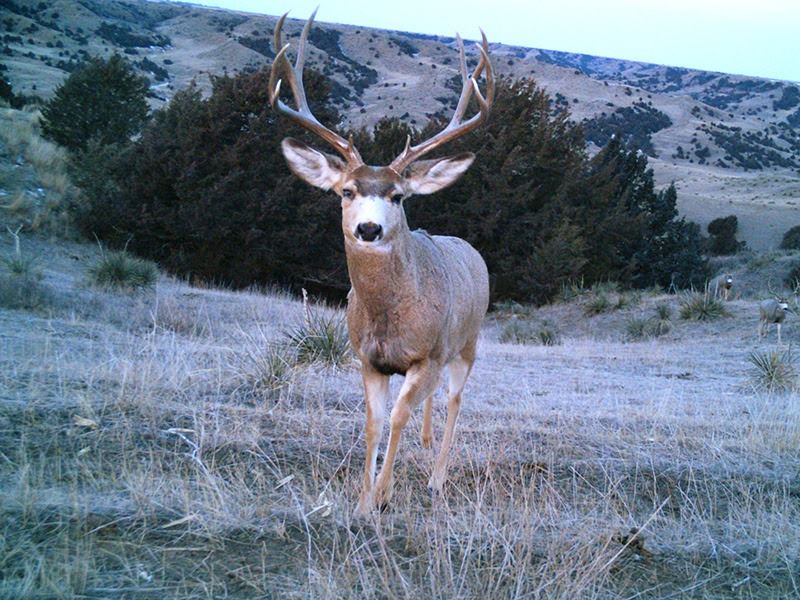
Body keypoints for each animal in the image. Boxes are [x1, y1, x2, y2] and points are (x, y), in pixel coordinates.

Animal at [269, 11, 494, 515]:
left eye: (397, 196)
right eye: (347, 191)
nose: (368, 229)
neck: (389, 318)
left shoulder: (426, 355)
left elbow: (396, 419)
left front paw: (382, 497)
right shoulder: (368, 359)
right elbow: (373, 422)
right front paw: (361, 499)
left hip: (466, 343)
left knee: (455, 400)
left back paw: (437, 478)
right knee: (436, 404)